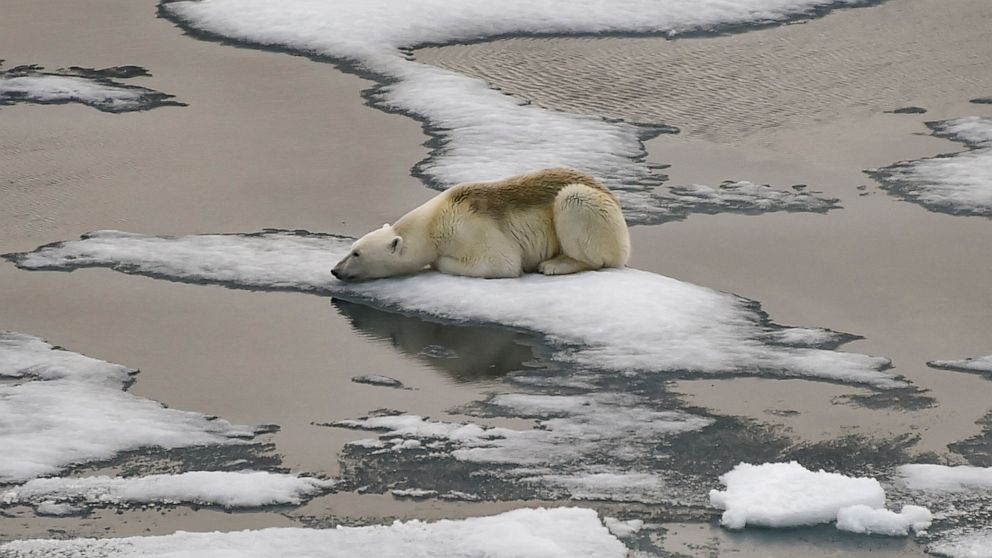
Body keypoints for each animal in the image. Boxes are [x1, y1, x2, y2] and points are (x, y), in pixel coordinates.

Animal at [331, 167, 630, 281]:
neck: (435, 220)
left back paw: (556, 264)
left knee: (574, 202)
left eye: (356, 253)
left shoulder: (471, 227)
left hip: (595, 211)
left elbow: (501, 263)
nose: (335, 270)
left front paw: (438, 262)